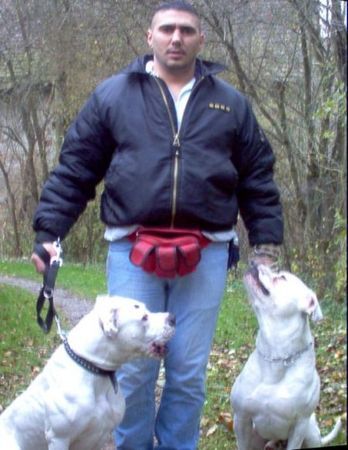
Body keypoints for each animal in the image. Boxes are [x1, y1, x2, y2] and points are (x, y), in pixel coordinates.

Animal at [230, 264, 342, 450]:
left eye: (282, 278)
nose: (255, 263)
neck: (277, 355)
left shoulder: (300, 426)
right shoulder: (241, 419)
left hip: (310, 432)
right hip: (254, 434)